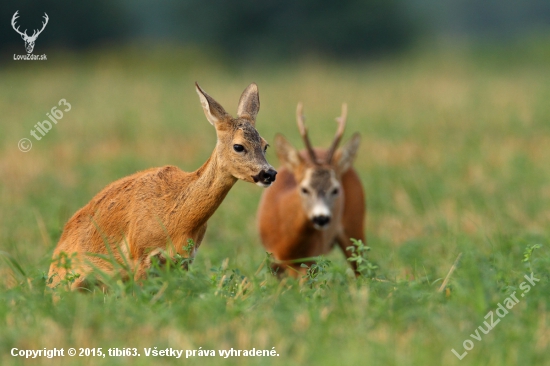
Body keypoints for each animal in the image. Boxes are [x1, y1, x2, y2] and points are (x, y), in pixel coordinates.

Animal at [49, 84, 278, 290]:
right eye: (238, 146)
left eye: (265, 145)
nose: (269, 173)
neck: (178, 218)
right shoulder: (140, 254)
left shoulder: (184, 259)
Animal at [258, 101, 366, 276]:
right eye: (304, 189)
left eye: (335, 190)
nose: (321, 218)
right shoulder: (271, 257)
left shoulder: (312, 258)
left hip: (356, 225)